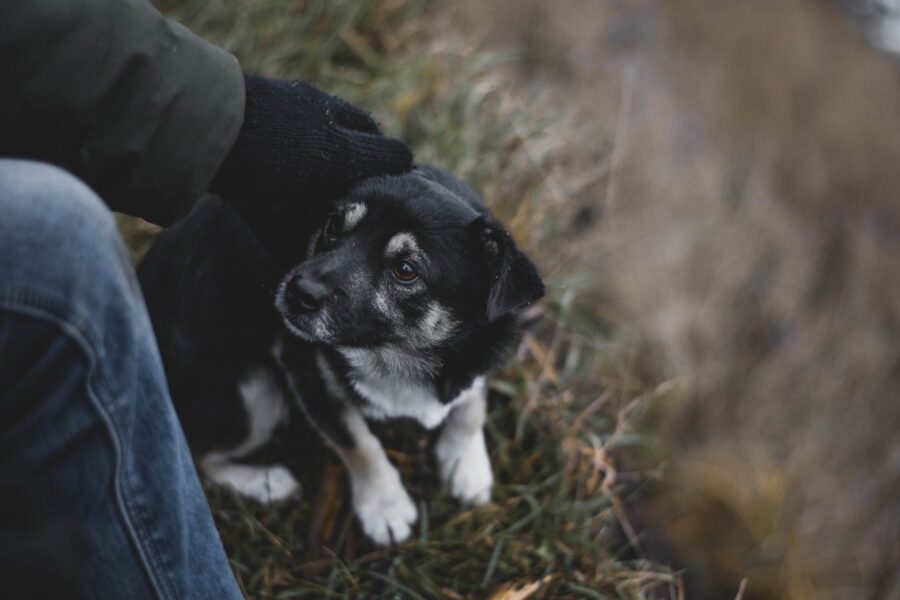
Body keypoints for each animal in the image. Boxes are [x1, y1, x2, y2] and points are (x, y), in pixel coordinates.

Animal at [138, 164, 544, 544]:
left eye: (405, 270)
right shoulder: (309, 375)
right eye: (333, 225)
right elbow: (358, 443)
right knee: (197, 459)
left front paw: (466, 465)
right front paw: (385, 506)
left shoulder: (478, 358)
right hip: (256, 396)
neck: (400, 352)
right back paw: (265, 482)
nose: (298, 291)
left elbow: (472, 405)